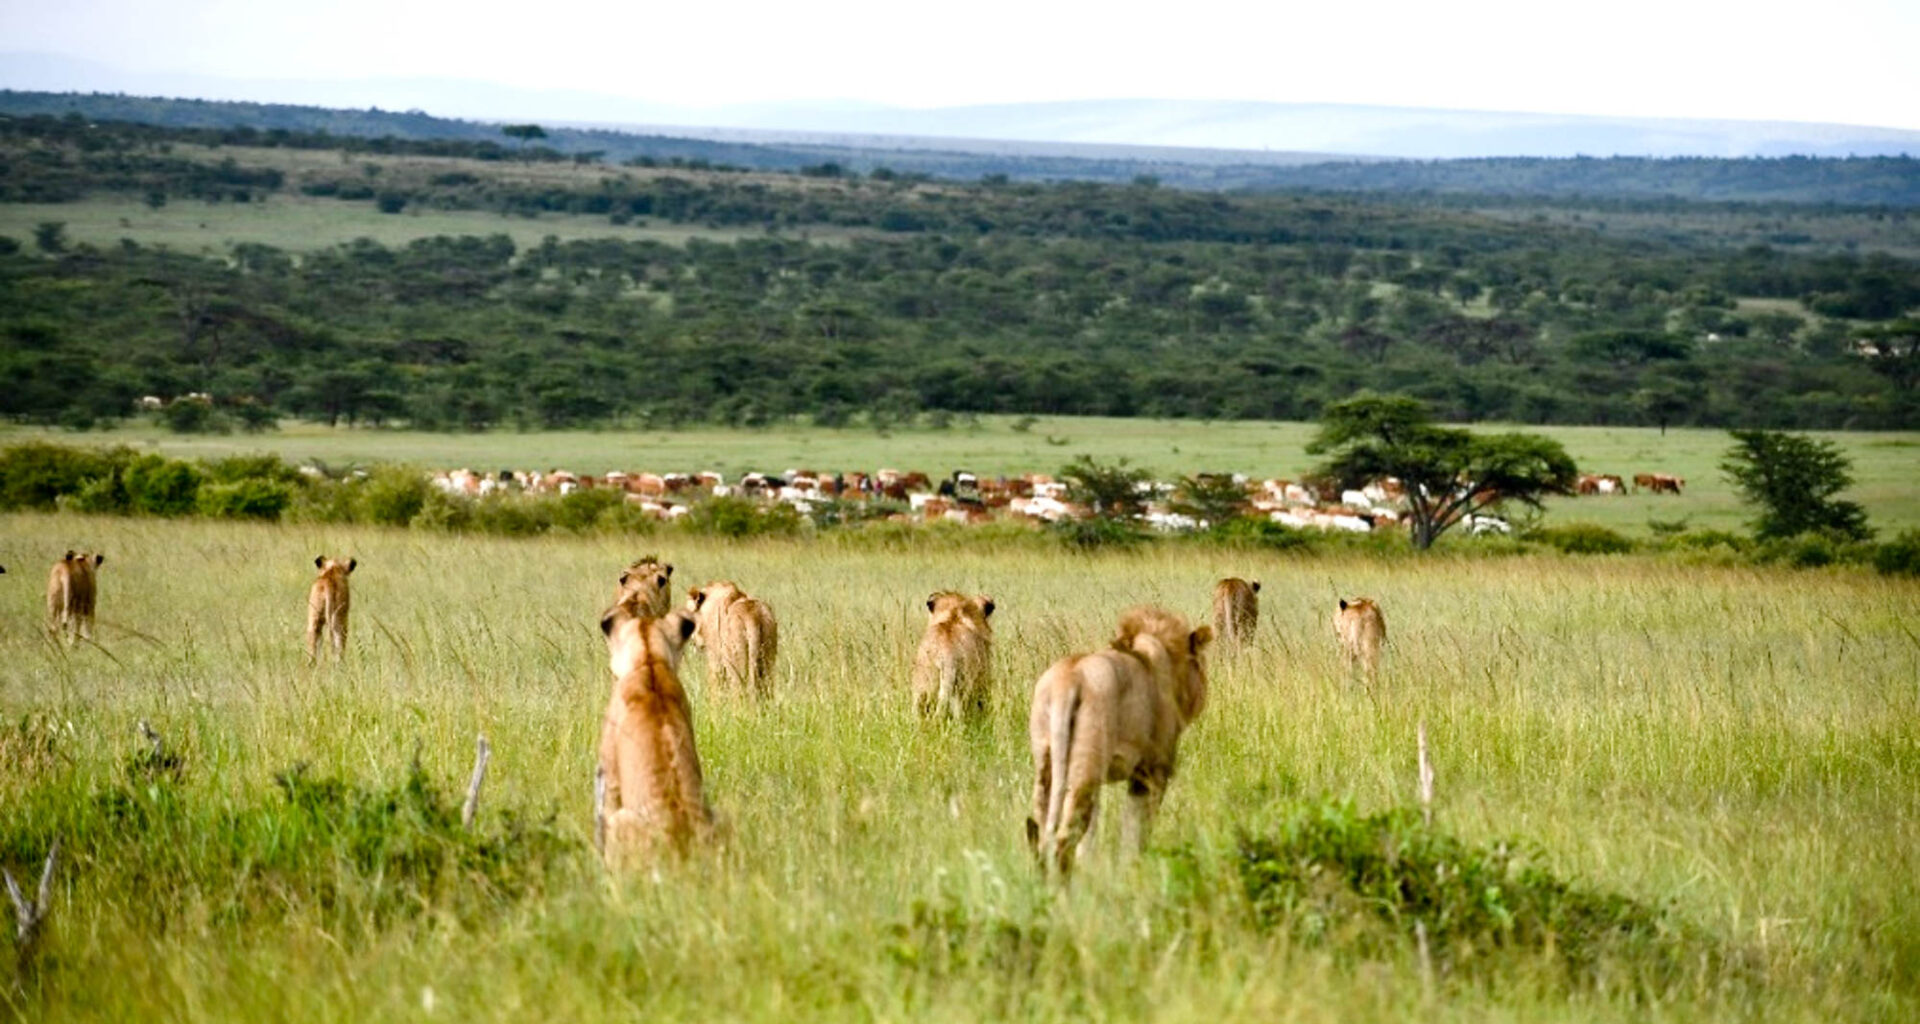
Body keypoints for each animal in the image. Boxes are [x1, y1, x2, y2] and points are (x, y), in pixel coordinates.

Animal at [1026, 606, 1212, 877]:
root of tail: (1067, 682)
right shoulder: (1151, 773)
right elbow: (1136, 830)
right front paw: (1133, 870)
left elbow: (1092, 837)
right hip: (1086, 768)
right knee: (1064, 840)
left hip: (1048, 762)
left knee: (1042, 833)